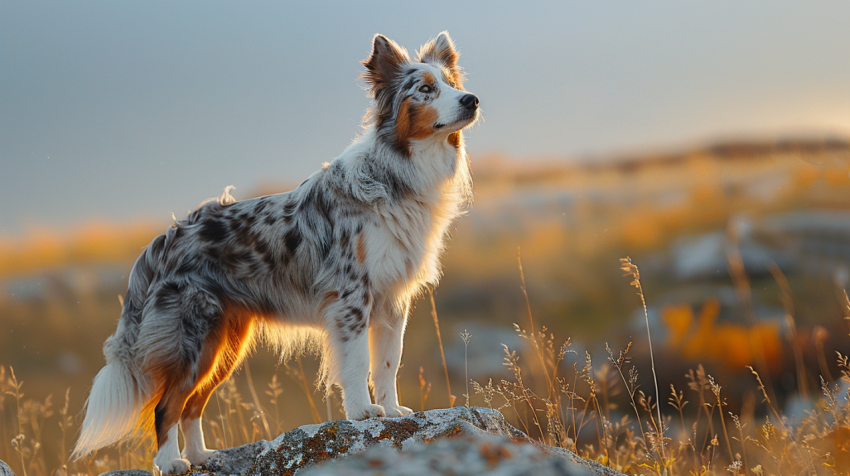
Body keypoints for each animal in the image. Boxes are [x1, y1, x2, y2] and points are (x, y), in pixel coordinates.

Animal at [72, 31, 476, 474]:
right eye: (426, 89)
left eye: (453, 83)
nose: (472, 100)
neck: (398, 172)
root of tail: (163, 239)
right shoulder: (352, 296)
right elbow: (355, 363)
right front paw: (362, 412)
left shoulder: (392, 299)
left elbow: (389, 362)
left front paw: (393, 411)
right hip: (193, 337)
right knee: (167, 406)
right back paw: (172, 462)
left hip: (225, 343)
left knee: (192, 403)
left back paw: (202, 456)